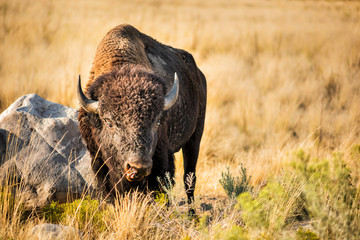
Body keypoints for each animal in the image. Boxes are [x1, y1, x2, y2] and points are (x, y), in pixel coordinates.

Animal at [77, 23, 207, 204]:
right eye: (109, 122)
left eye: (157, 122)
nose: (138, 167)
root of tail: (199, 75)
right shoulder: (98, 160)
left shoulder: (161, 159)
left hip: (195, 138)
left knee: (190, 179)